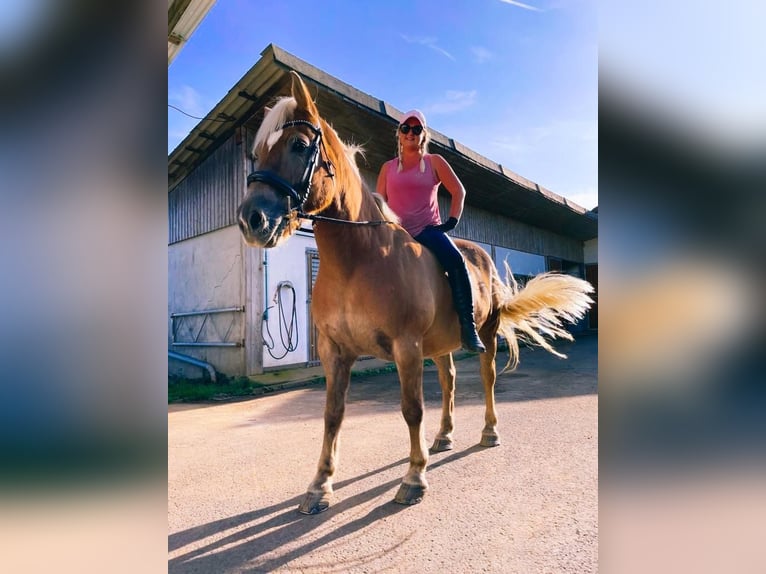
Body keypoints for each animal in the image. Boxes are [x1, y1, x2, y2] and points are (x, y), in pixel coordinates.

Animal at [237, 72, 596, 516]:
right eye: (258, 151)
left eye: (299, 145)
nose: (251, 220)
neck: (357, 261)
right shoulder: (334, 351)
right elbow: (332, 414)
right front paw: (319, 486)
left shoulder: (405, 347)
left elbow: (411, 410)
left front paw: (413, 479)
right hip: (441, 344)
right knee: (450, 380)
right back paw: (443, 437)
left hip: (485, 336)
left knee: (487, 379)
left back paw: (489, 433)